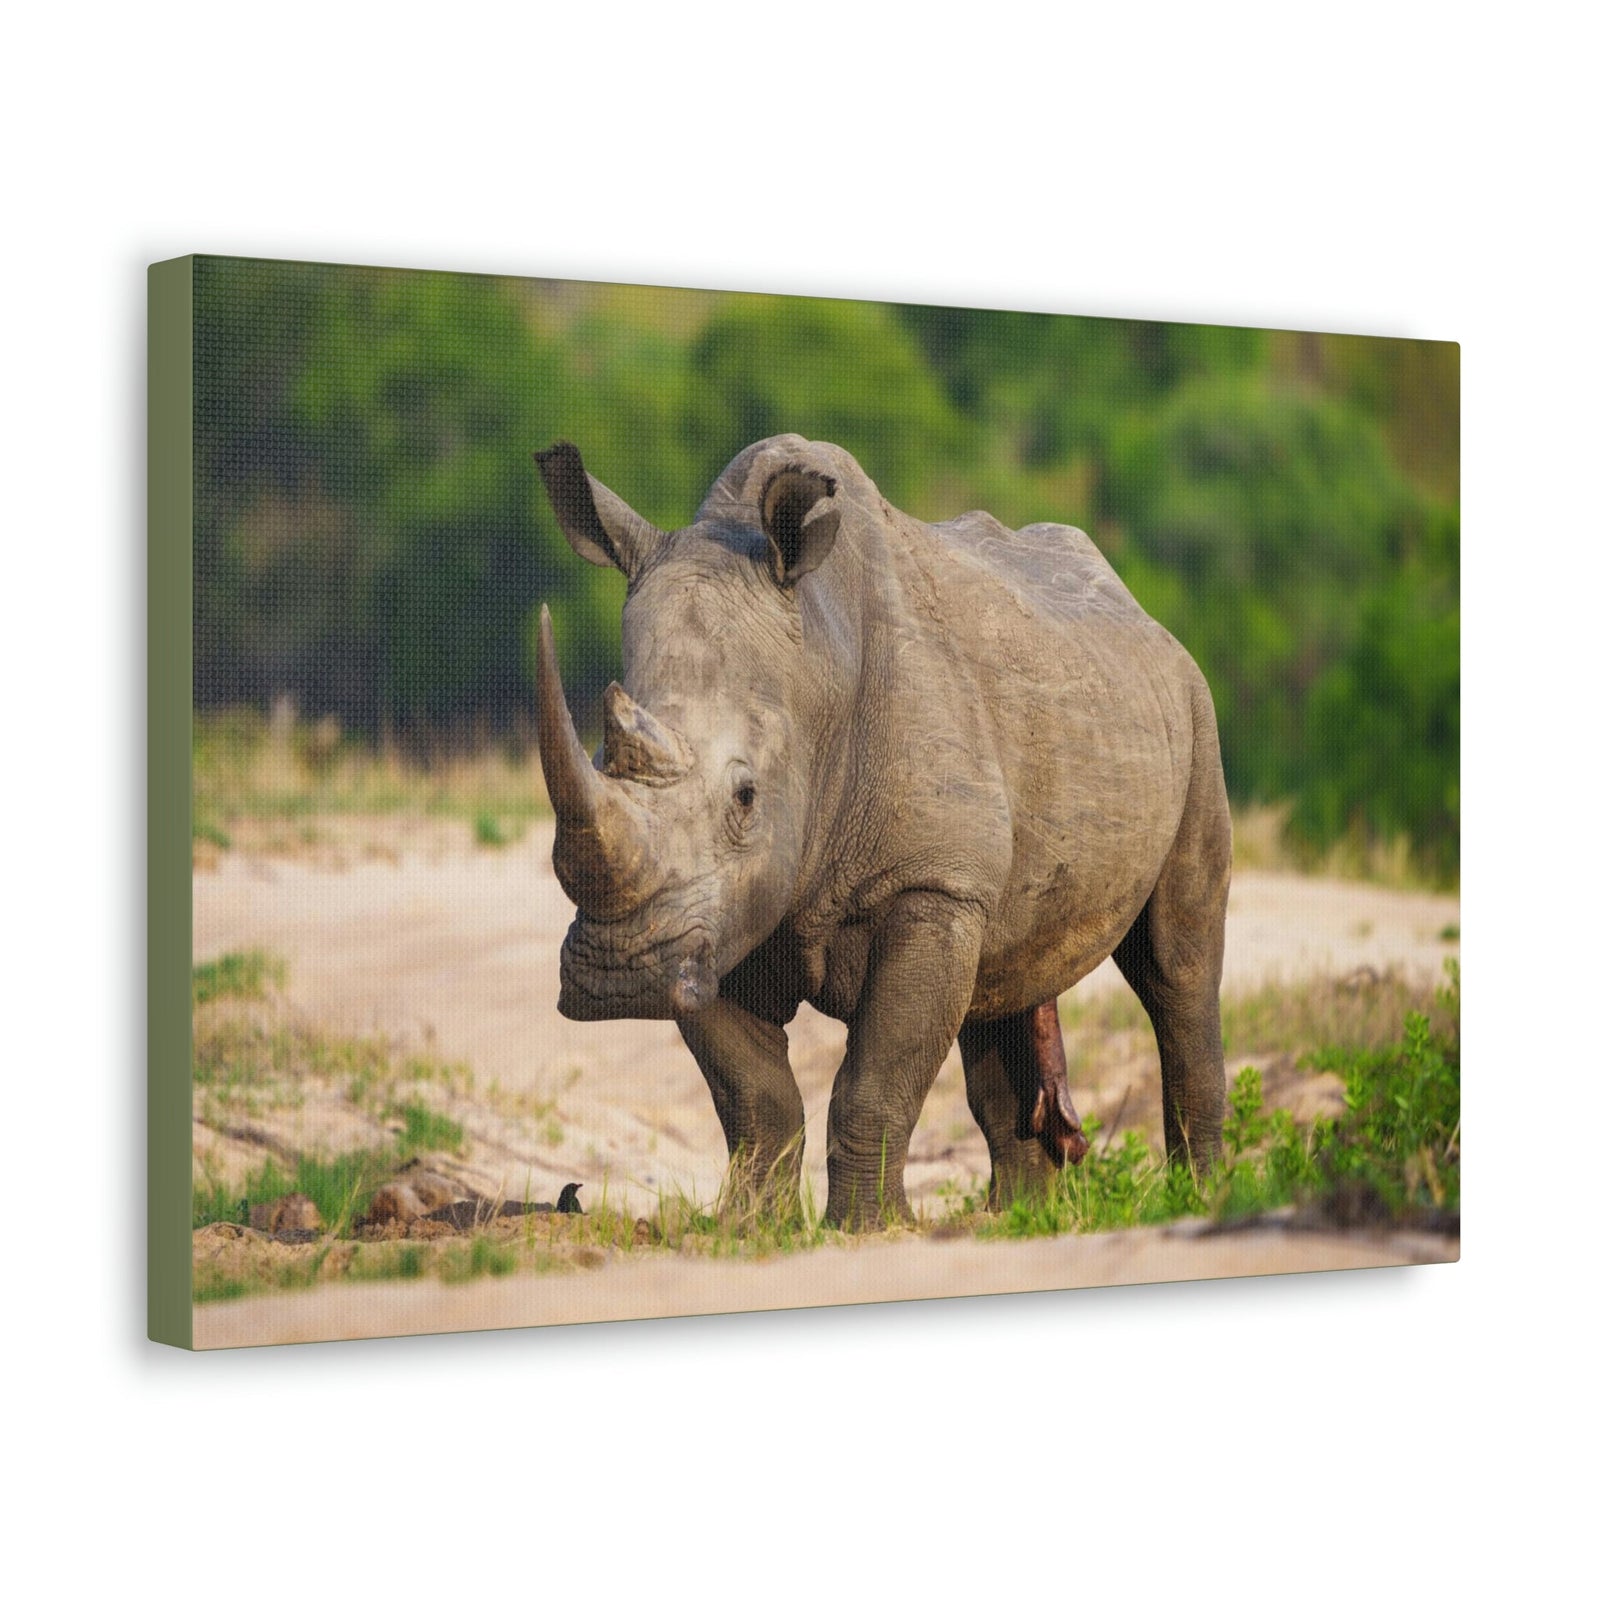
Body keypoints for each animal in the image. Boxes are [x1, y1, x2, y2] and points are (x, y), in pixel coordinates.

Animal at [533, 435, 1230, 1228]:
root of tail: (1140, 612)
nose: (620, 975)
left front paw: (868, 1228)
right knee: (1002, 980)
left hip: (1193, 708)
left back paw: (1200, 1197)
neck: (818, 671)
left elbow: (876, 1077)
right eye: (598, 762)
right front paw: (752, 1228)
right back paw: (1014, 1220)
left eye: (745, 797)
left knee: (1178, 965)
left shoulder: (929, 883)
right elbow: (754, 1097)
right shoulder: (709, 920)